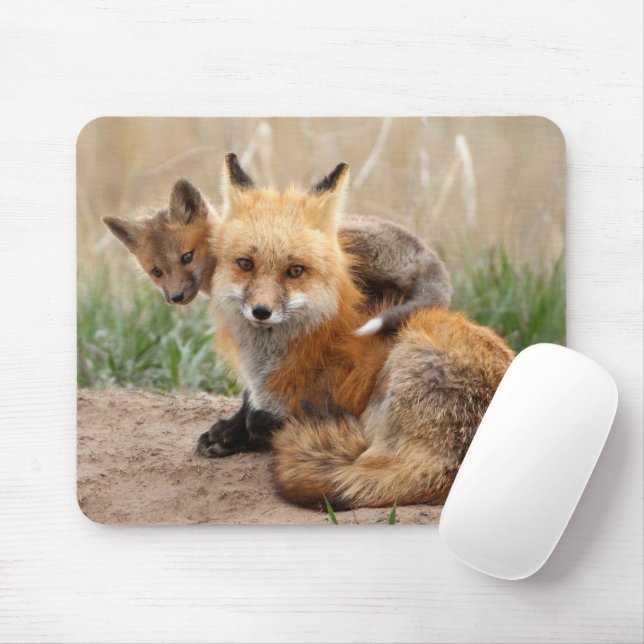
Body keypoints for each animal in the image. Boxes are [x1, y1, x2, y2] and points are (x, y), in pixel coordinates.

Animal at [194, 154, 514, 508]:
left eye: (295, 271)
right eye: (245, 264)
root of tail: (450, 467)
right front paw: (228, 431)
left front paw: (244, 431)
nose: (261, 312)